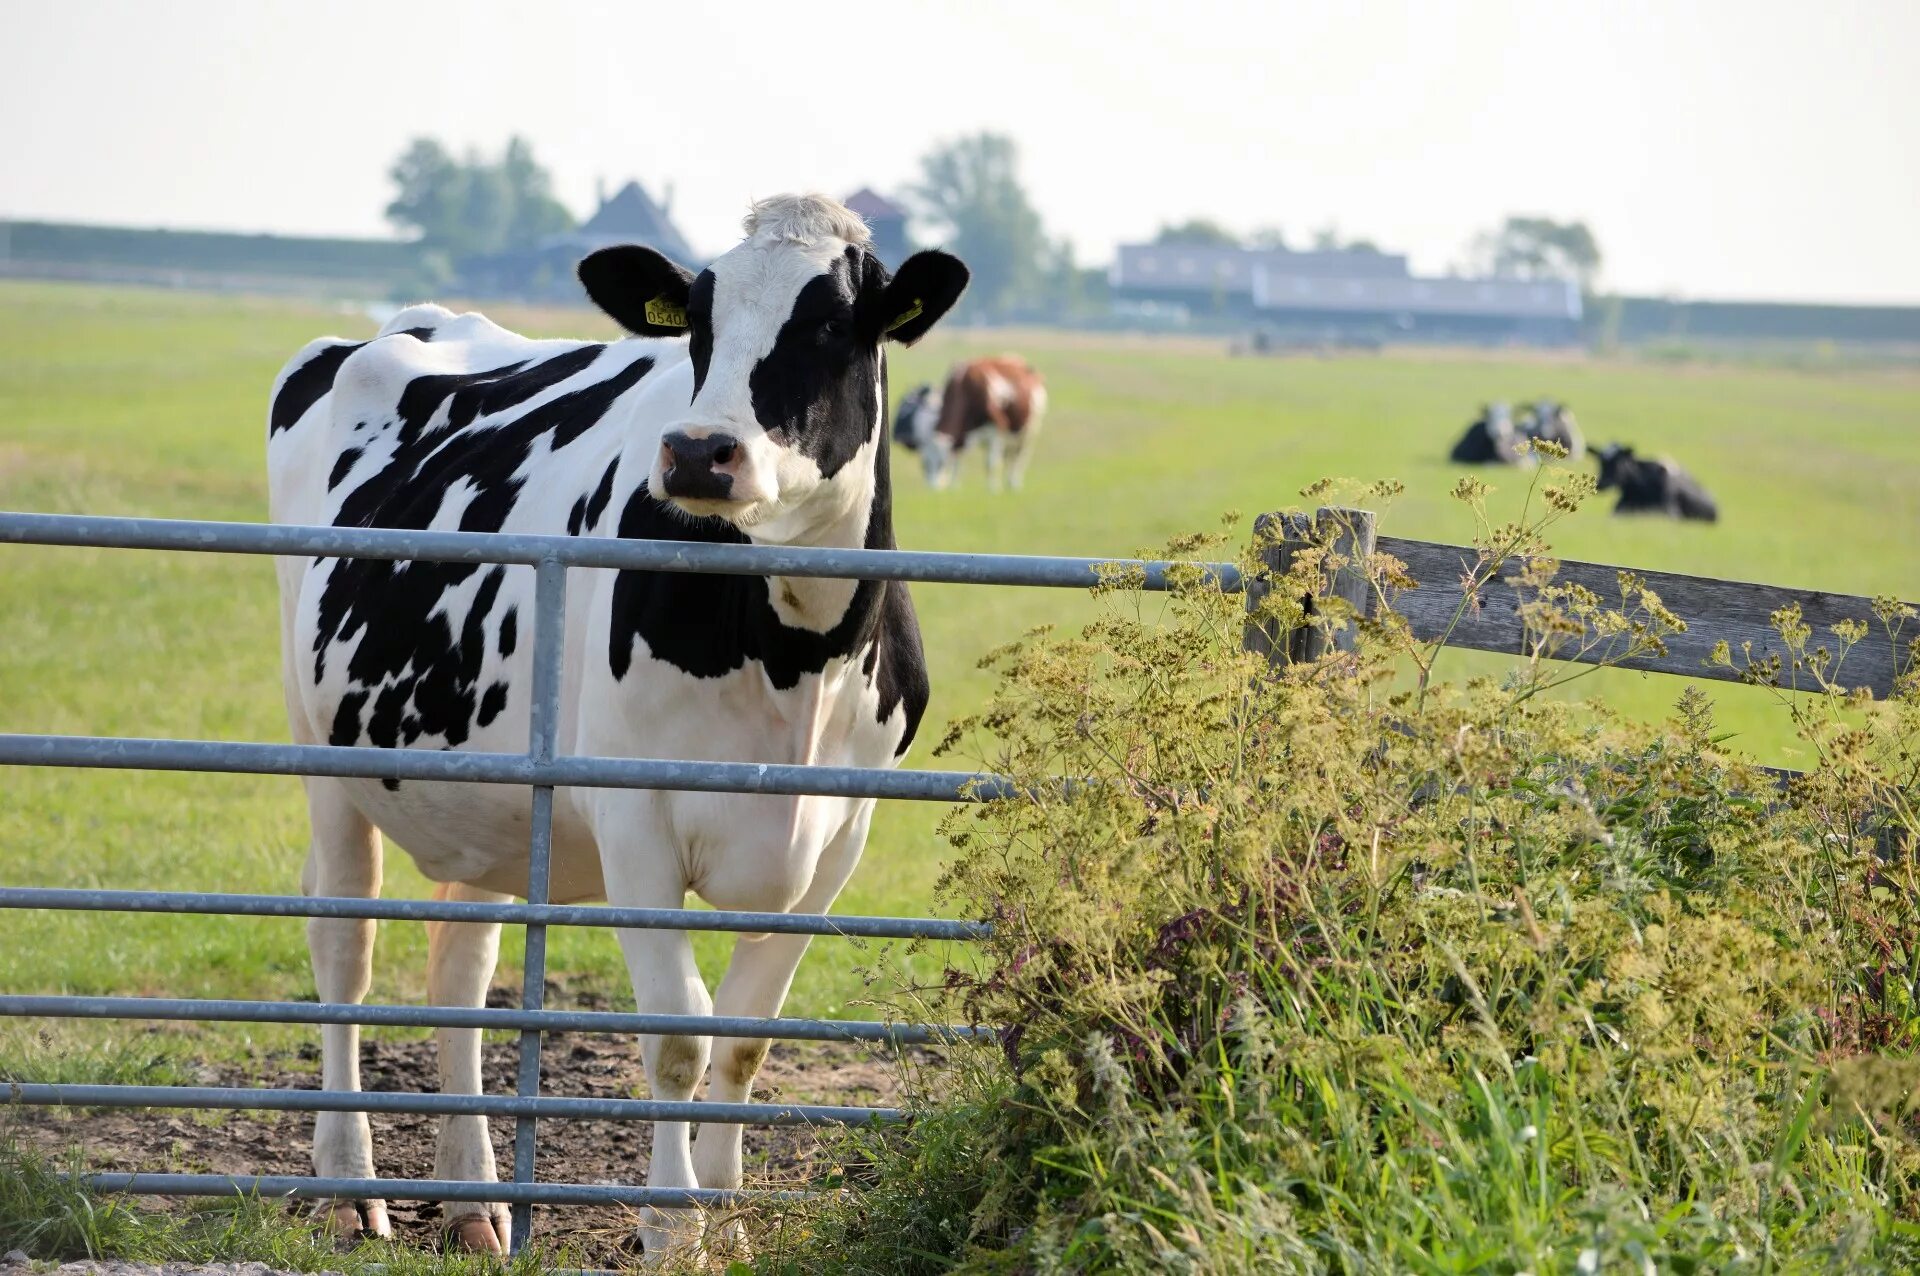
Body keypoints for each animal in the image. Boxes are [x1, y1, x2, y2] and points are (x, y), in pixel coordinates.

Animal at [263, 191, 967, 1251]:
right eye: (699, 323)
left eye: (834, 325)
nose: (698, 451)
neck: (796, 653)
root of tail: (414, 323)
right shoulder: (637, 823)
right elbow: (678, 1034)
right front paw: (672, 1230)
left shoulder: (840, 839)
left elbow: (746, 1041)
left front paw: (729, 1225)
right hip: (323, 753)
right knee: (343, 942)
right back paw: (352, 1188)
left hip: (494, 793)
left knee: (460, 968)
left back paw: (474, 1206)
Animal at [887, 354, 1044, 489]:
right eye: (924, 465)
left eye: (942, 463)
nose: (934, 489)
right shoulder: (961, 434)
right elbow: (958, 461)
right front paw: (954, 487)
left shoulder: (997, 428)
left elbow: (991, 462)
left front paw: (992, 489)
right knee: (1008, 455)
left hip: (1028, 430)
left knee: (1019, 455)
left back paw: (1013, 483)